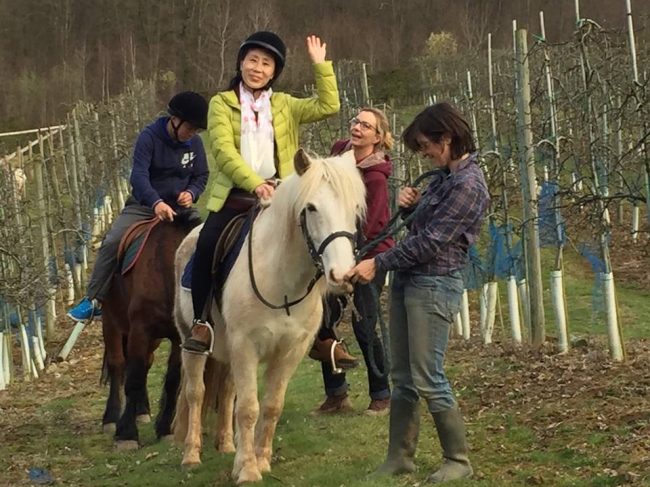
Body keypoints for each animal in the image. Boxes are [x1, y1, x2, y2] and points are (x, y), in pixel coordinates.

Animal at [101, 217, 199, 449]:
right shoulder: (140, 330)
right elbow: (134, 377)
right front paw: (126, 434)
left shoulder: (177, 337)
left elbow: (172, 380)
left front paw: (165, 429)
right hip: (110, 322)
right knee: (118, 365)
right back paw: (111, 417)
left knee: (147, 362)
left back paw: (142, 410)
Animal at [172, 149, 367, 484]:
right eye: (311, 208)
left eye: (354, 207)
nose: (342, 275)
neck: (281, 283)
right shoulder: (245, 346)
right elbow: (249, 408)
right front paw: (248, 471)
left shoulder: (290, 351)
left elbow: (271, 406)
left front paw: (259, 461)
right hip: (191, 342)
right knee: (196, 393)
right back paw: (191, 455)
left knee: (227, 391)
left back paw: (227, 444)